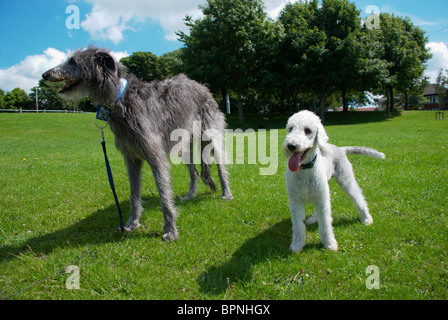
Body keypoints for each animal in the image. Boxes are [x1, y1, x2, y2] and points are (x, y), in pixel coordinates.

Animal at [42, 47, 233, 240]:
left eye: (73, 61)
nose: (44, 74)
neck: (120, 100)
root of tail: (203, 87)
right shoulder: (131, 158)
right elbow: (134, 194)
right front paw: (131, 224)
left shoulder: (155, 156)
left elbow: (164, 195)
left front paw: (170, 229)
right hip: (182, 145)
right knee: (194, 172)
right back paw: (190, 196)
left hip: (211, 134)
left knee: (220, 167)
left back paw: (226, 193)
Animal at [284, 110, 384, 252]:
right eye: (290, 129)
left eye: (307, 130)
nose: (291, 146)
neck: (305, 169)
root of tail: (340, 149)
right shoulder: (295, 201)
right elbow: (298, 225)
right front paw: (297, 245)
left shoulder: (321, 196)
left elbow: (326, 223)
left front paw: (329, 243)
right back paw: (313, 218)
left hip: (345, 180)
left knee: (359, 198)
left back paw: (366, 219)